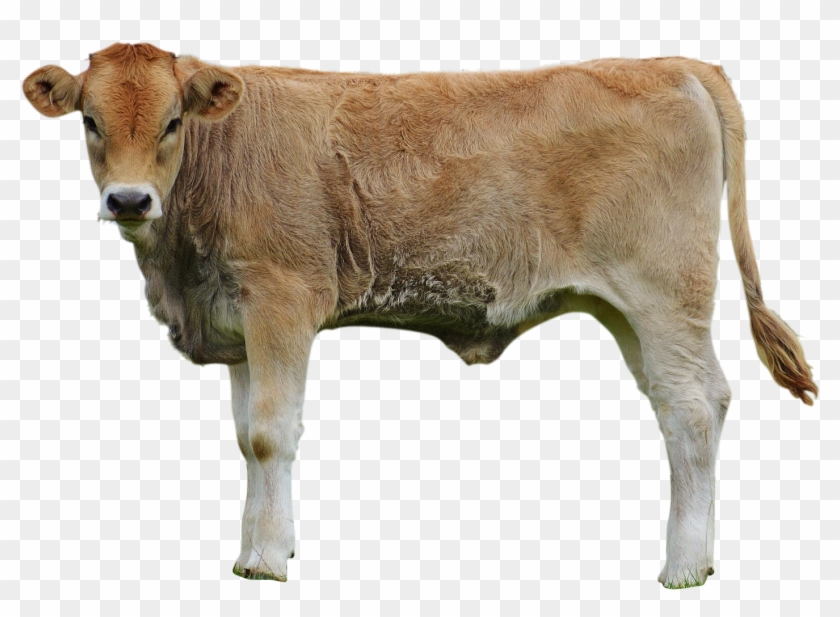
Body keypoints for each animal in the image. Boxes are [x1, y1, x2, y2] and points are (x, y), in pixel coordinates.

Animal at [23, 42, 817, 589]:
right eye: (89, 120)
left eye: (172, 121)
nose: (129, 200)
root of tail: (675, 63)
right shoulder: (237, 319)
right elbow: (247, 438)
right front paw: (256, 548)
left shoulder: (282, 299)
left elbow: (273, 435)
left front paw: (269, 560)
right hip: (629, 310)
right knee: (693, 401)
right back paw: (700, 557)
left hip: (663, 294)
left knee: (691, 409)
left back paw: (682, 567)